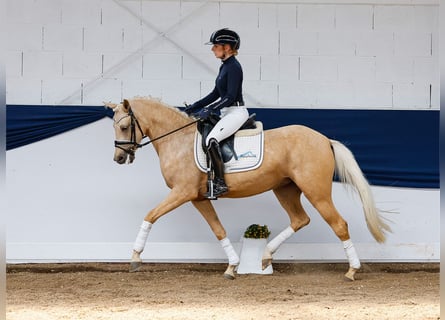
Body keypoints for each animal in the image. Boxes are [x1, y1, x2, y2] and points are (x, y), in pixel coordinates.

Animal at [105, 97, 388, 280]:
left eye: (124, 127)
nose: (118, 158)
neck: (178, 140)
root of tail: (324, 139)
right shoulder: (198, 197)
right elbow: (218, 229)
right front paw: (232, 267)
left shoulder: (182, 193)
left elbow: (150, 215)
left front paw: (135, 257)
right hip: (285, 189)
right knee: (300, 219)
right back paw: (265, 256)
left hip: (316, 191)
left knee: (338, 224)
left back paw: (352, 270)